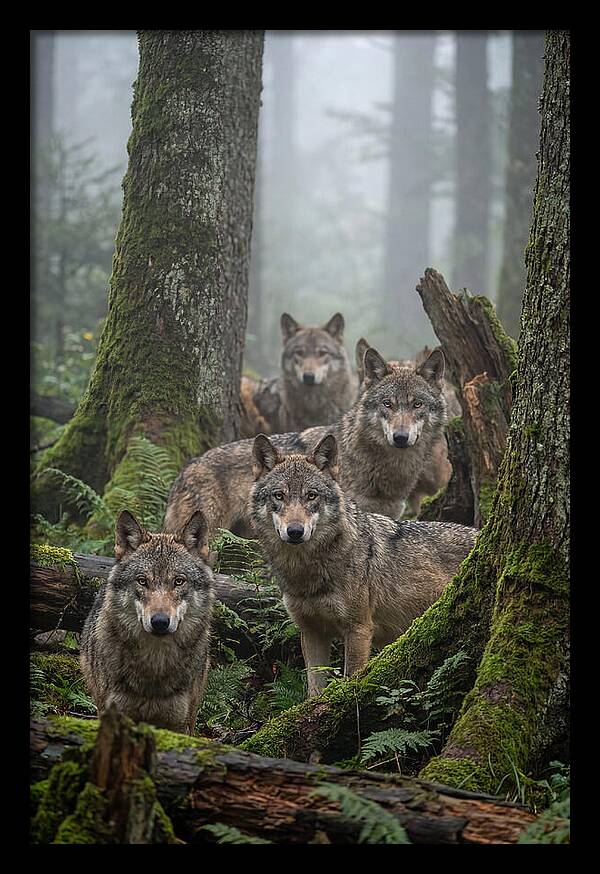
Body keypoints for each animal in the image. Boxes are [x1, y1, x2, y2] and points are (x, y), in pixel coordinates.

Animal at [250, 433, 477, 695]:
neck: (306, 572)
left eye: (311, 495)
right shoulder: (311, 632)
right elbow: (313, 690)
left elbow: (351, 680)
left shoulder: (358, 629)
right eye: (279, 495)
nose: (295, 531)